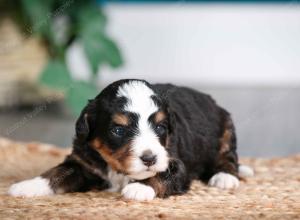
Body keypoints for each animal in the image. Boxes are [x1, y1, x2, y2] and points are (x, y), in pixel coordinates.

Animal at [8, 79, 253, 201]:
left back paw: (224, 177)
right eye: (118, 130)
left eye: (160, 127)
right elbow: (57, 173)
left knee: (228, 156)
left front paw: (140, 188)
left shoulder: (175, 161)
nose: (149, 159)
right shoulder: (82, 162)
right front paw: (26, 186)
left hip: (226, 127)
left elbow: (162, 175)